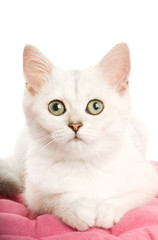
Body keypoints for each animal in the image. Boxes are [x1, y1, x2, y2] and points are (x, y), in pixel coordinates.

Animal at [0, 43, 158, 231]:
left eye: (96, 106)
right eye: (56, 107)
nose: (75, 125)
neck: (84, 163)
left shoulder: (148, 180)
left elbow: (128, 197)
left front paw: (107, 210)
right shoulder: (34, 193)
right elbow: (57, 197)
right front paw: (79, 210)